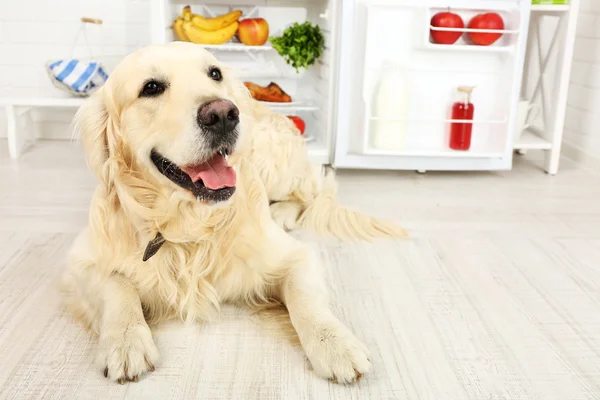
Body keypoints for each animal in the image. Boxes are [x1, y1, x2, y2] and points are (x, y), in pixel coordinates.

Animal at [59, 41, 408, 384]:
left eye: (214, 73)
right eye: (151, 87)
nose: (223, 114)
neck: (190, 224)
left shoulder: (293, 256)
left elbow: (305, 296)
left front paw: (335, 344)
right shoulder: (80, 260)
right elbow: (117, 285)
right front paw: (125, 341)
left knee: (308, 194)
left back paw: (283, 211)